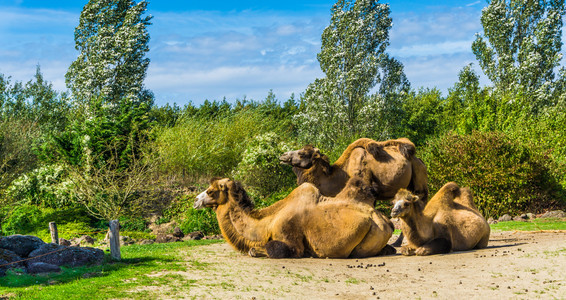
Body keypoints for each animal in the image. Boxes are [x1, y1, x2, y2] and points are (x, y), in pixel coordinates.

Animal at [192, 177, 394, 258]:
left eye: (210, 191)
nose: (195, 201)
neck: (267, 224)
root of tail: (386, 222)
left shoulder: (290, 240)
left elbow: (271, 250)